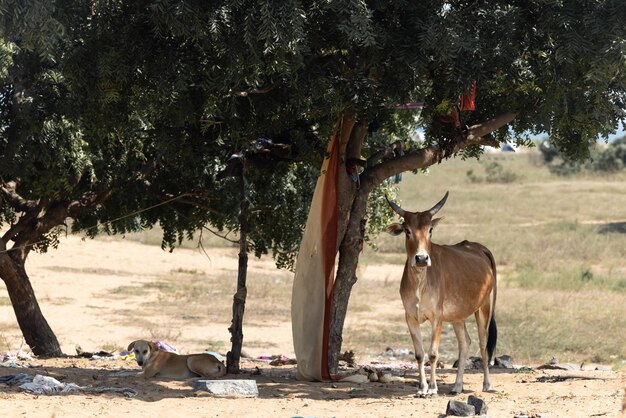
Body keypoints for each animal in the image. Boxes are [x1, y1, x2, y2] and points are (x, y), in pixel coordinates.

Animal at [382, 193, 494, 396]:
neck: (420, 282)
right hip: (458, 316)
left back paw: (487, 384)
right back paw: (457, 386)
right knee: (465, 343)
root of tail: (479, 248)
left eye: (430, 230)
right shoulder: (410, 317)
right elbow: (419, 354)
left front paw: (433, 388)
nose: (421, 258)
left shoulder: (438, 316)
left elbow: (433, 354)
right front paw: (422, 388)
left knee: (483, 344)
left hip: (484, 307)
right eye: (407, 230)